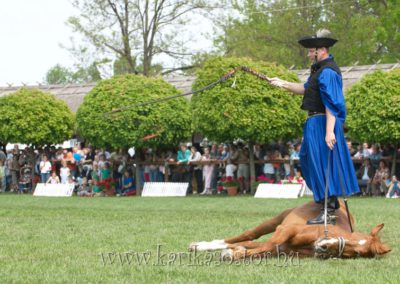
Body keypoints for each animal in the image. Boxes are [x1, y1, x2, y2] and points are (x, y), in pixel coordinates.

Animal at [188, 200, 390, 260]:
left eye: (357, 252)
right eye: (351, 237)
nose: (323, 246)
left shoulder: (284, 249)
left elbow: (260, 248)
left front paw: (235, 252)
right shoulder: (286, 229)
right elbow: (265, 244)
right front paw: (232, 253)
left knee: (248, 240)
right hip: (276, 220)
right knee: (249, 235)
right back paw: (201, 245)